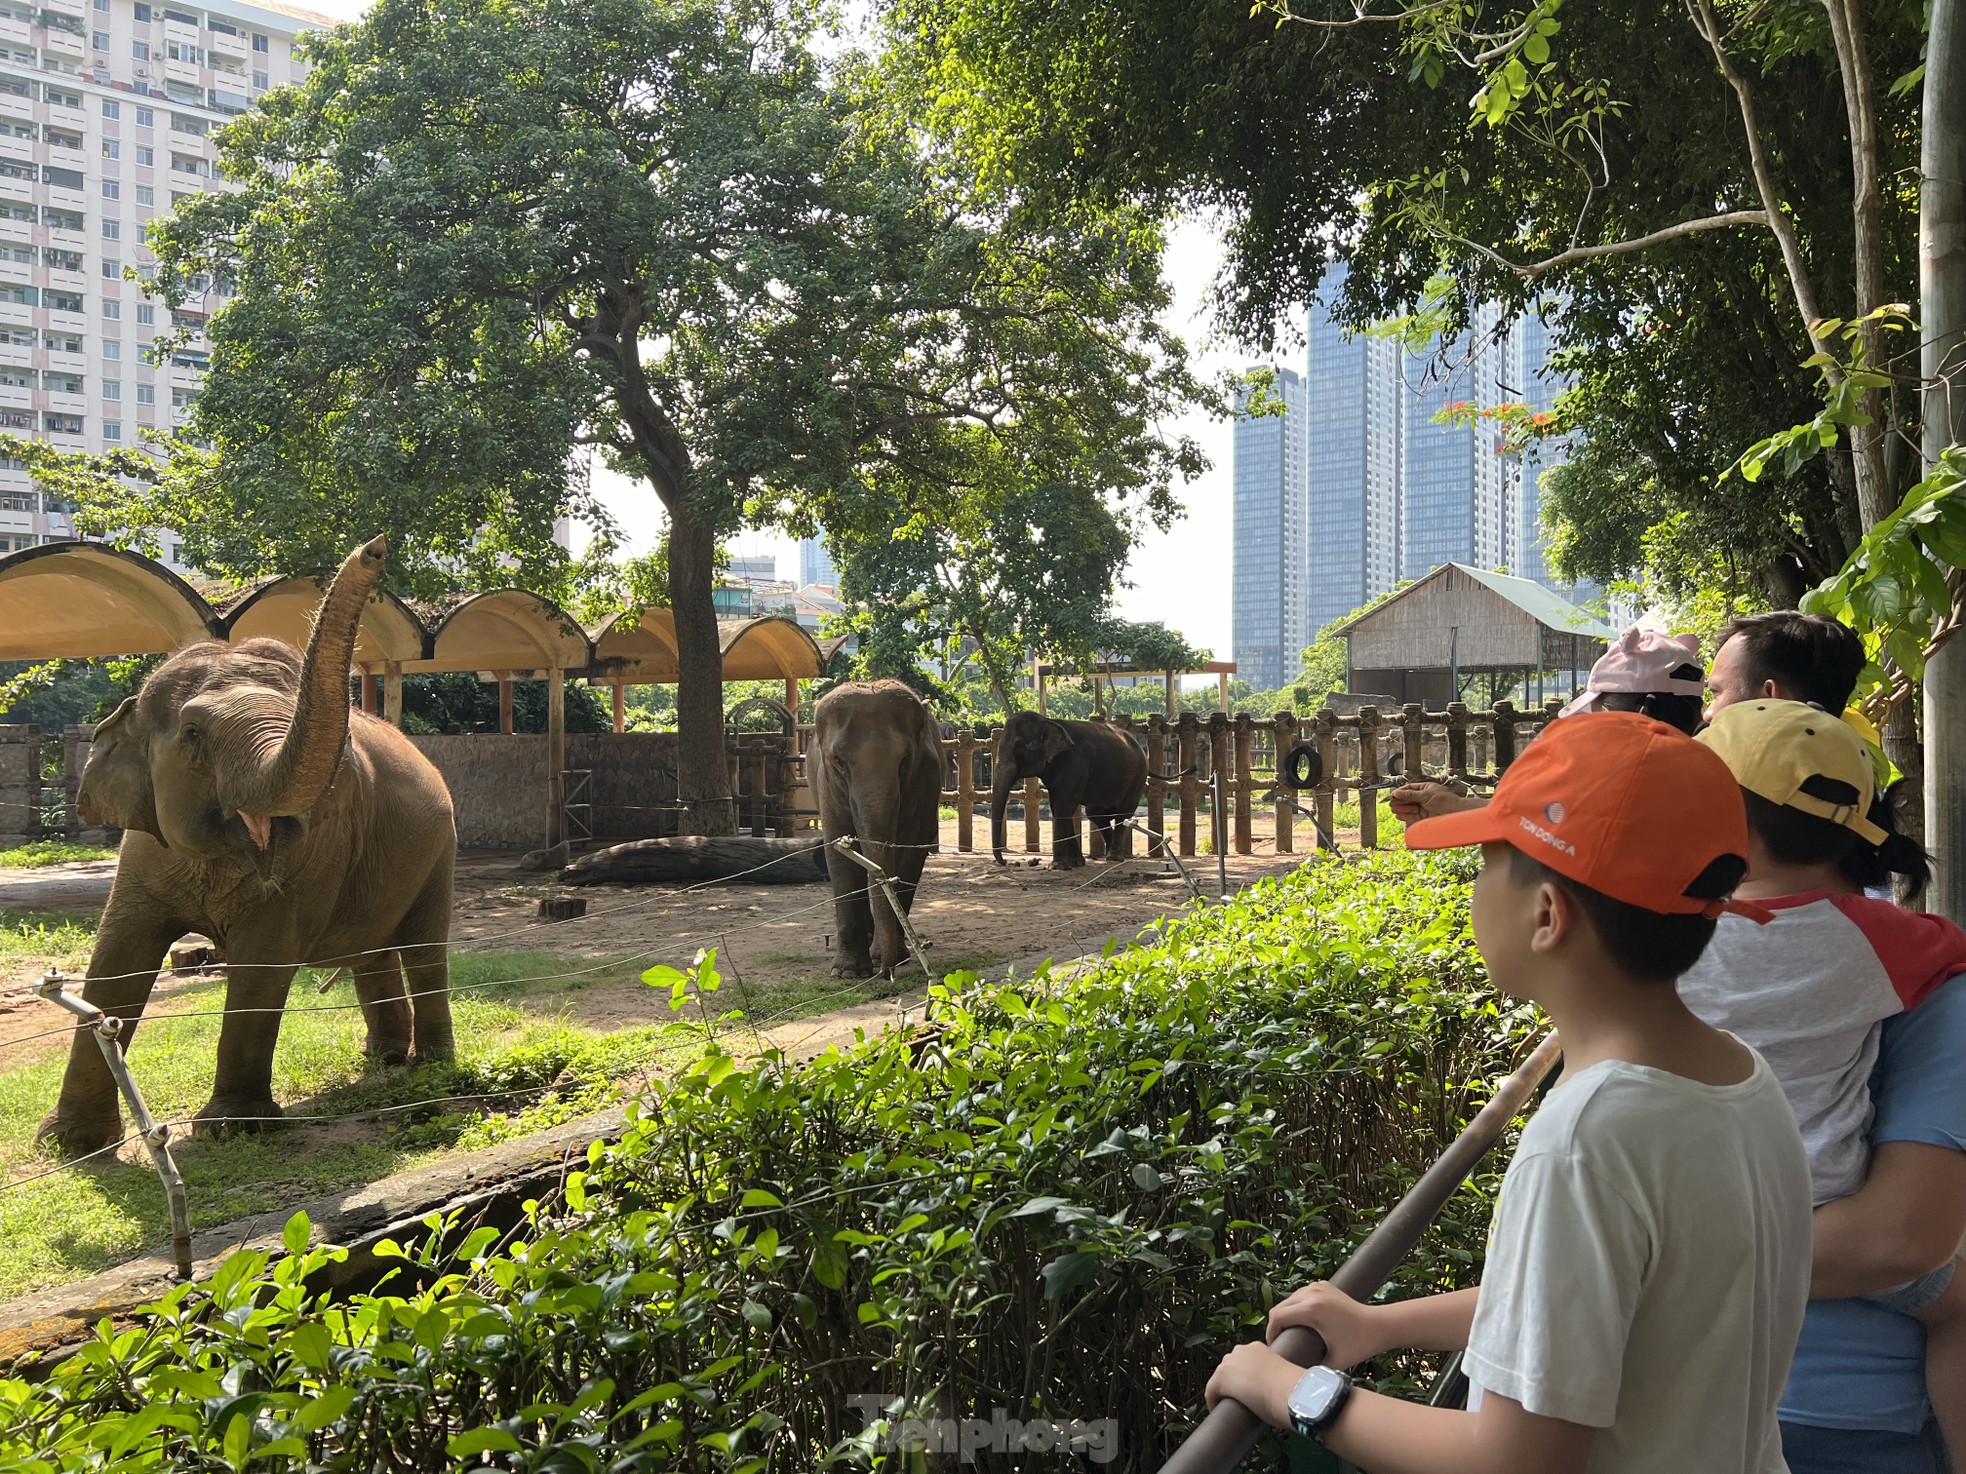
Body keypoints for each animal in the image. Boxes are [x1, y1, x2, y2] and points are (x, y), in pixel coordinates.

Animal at [39, 538, 456, 1163]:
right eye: (192, 735)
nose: (376, 549)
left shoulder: (317, 856)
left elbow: (263, 959)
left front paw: (230, 1128)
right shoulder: (142, 853)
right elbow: (115, 959)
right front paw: (69, 1145)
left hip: (440, 851)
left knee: (424, 949)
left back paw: (430, 1068)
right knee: (372, 952)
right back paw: (381, 1059)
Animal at [806, 680, 943, 982]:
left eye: (905, 760)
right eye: (839, 761)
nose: (885, 972)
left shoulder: (925, 780)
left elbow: (910, 850)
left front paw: (889, 957)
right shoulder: (826, 784)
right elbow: (839, 854)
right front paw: (847, 972)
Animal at [990, 711, 1148, 872]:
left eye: (1019, 748)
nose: (1005, 861)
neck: (1048, 721)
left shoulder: (1074, 764)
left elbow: (1063, 806)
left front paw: (1058, 866)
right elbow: (1059, 808)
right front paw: (1076, 863)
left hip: (1138, 776)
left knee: (1122, 813)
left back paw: (1114, 857)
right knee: (1095, 813)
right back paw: (1111, 854)